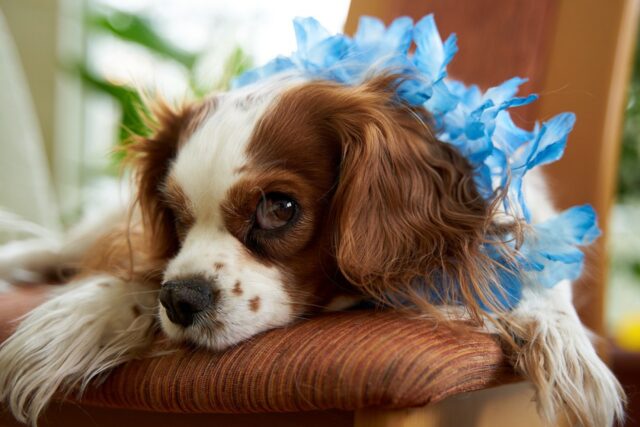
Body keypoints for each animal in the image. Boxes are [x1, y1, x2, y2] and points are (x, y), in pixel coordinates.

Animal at [0, 72, 624, 424]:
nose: (181, 300)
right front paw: (75, 320)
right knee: (59, 246)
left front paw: (569, 351)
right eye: (174, 215)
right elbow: (136, 270)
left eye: (279, 208)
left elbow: (543, 287)